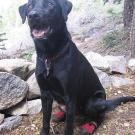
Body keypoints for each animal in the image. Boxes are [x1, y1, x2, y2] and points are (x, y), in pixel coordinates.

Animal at [19, 0, 135, 134]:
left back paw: (90, 126)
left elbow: (68, 126)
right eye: (29, 6)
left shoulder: (70, 97)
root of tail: (105, 101)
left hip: (91, 103)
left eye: (50, 4)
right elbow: (45, 120)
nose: (33, 15)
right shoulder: (45, 93)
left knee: (101, 116)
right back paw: (60, 116)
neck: (49, 56)